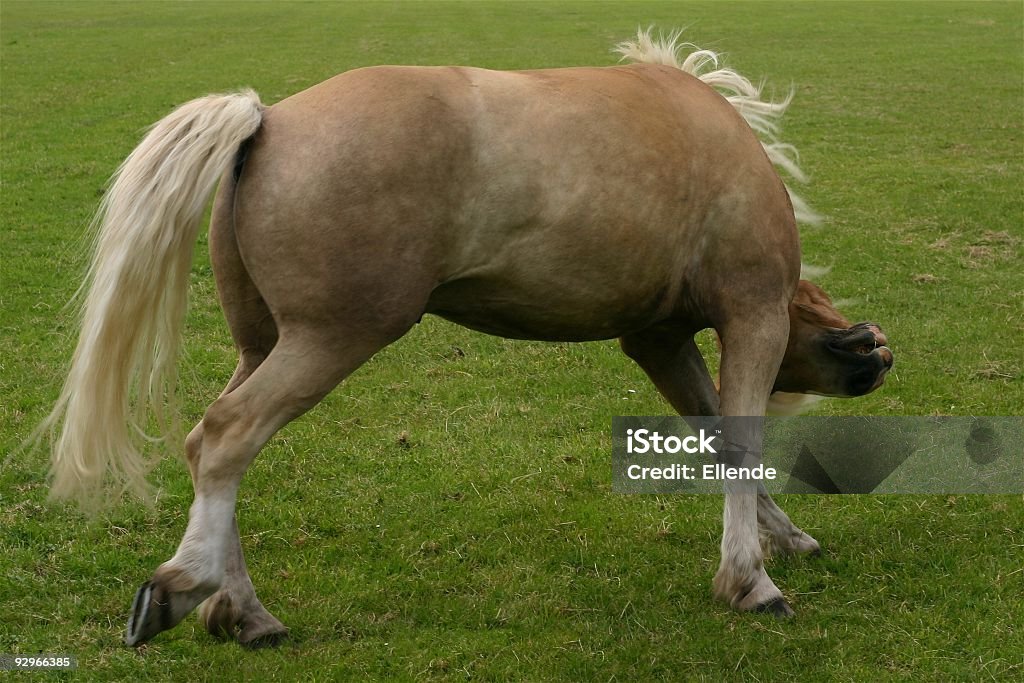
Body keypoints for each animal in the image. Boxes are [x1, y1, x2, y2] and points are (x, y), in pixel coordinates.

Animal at [37, 31, 888, 651]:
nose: (874, 353)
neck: (712, 129)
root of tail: (265, 118)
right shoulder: (751, 312)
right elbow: (740, 439)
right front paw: (750, 578)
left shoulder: (658, 338)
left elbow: (710, 433)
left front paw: (786, 536)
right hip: (331, 339)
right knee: (225, 439)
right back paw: (192, 586)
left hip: (263, 344)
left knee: (211, 445)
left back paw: (238, 606)